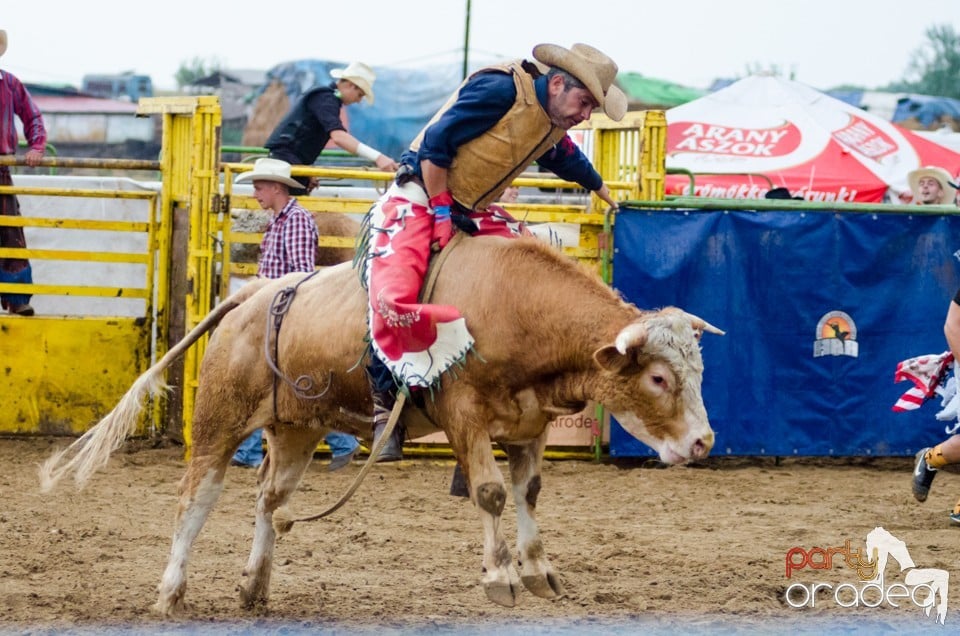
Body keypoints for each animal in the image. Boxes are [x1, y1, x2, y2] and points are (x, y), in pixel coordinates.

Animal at [41, 234, 724, 616]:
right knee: (196, 499)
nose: (703, 441)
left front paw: (539, 572)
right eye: (658, 378)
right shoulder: (466, 418)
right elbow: (490, 493)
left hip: (296, 430)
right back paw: (171, 592)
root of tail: (252, 294)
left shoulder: (530, 426)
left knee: (269, 501)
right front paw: (501, 576)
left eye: (697, 371)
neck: (513, 307)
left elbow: (527, 494)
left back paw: (254, 585)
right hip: (219, 419)